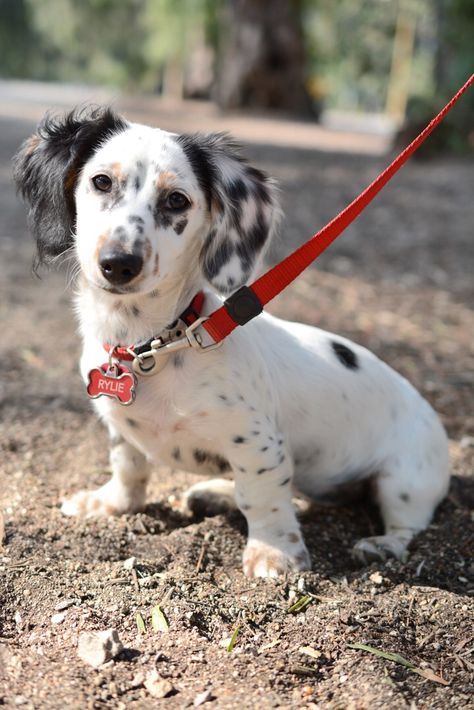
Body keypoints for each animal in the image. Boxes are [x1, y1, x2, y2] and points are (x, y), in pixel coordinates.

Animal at [12, 107, 450, 580]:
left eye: (177, 201)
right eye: (101, 181)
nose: (119, 263)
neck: (154, 346)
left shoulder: (257, 440)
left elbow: (262, 497)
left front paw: (273, 553)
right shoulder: (123, 429)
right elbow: (128, 468)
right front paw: (109, 503)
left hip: (405, 479)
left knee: (408, 526)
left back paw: (380, 545)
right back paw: (214, 492)